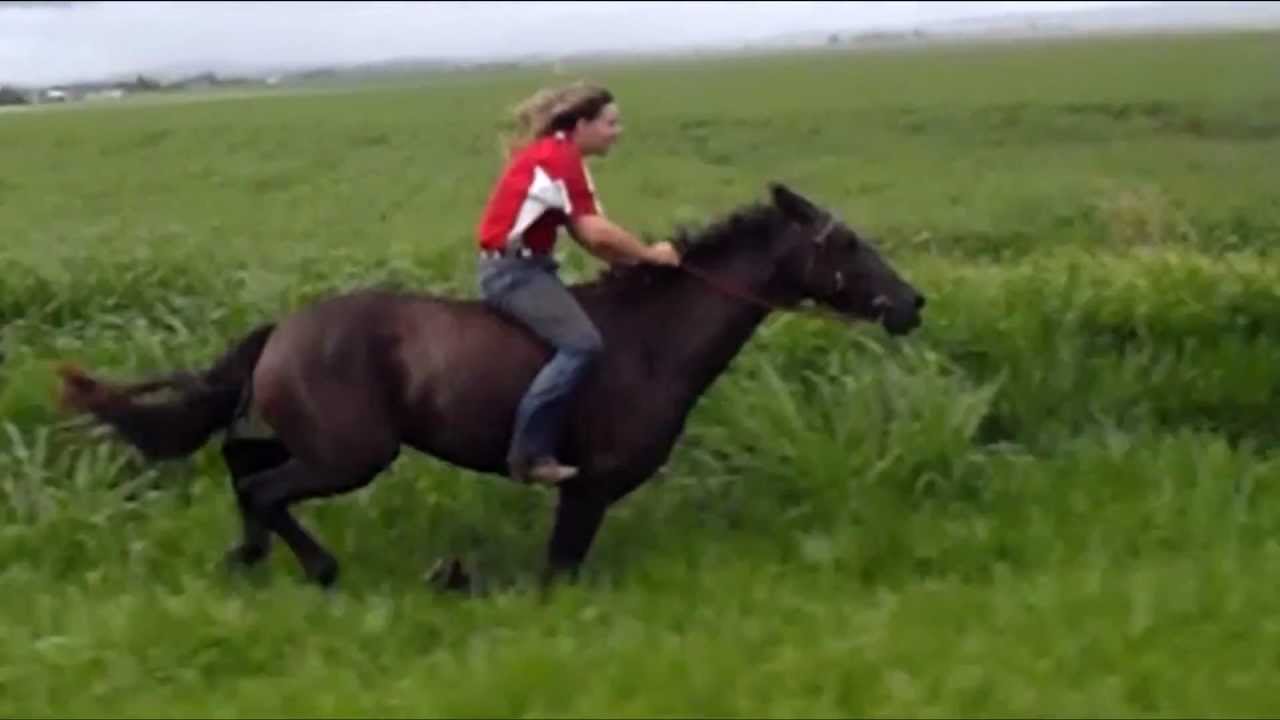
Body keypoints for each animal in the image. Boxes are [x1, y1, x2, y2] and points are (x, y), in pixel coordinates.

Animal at [55, 182, 927, 591]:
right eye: (846, 242)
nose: (912, 303)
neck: (655, 339)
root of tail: (282, 329)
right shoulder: (585, 488)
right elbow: (559, 570)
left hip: (320, 441)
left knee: (245, 471)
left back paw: (250, 559)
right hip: (351, 453)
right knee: (265, 487)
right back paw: (319, 569)